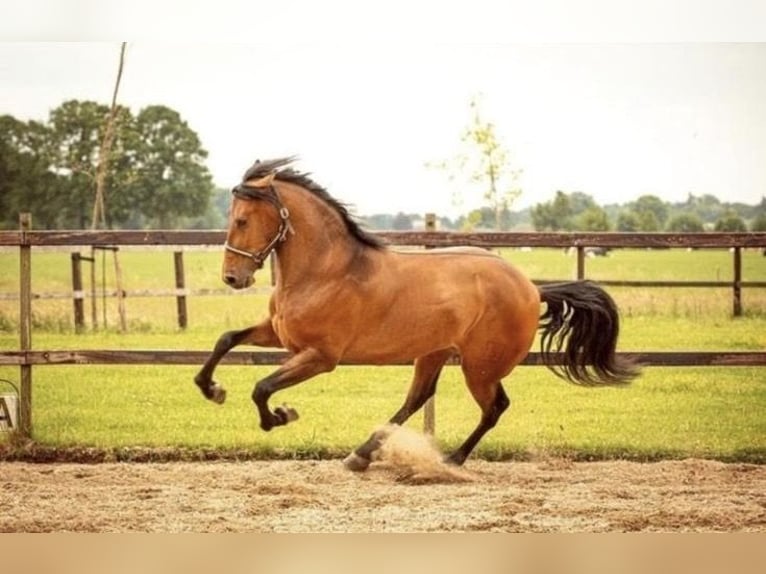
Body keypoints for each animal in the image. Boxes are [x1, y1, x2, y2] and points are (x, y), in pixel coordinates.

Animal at [194, 157, 640, 470]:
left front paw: (280, 416)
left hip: (479, 366)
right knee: (418, 398)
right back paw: (361, 455)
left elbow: (262, 387)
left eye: (242, 219)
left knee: (494, 407)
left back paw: (451, 460)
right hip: (434, 353)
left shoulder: (320, 357)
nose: (232, 277)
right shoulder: (279, 335)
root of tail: (532, 288)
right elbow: (226, 340)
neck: (326, 271)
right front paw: (212, 389)